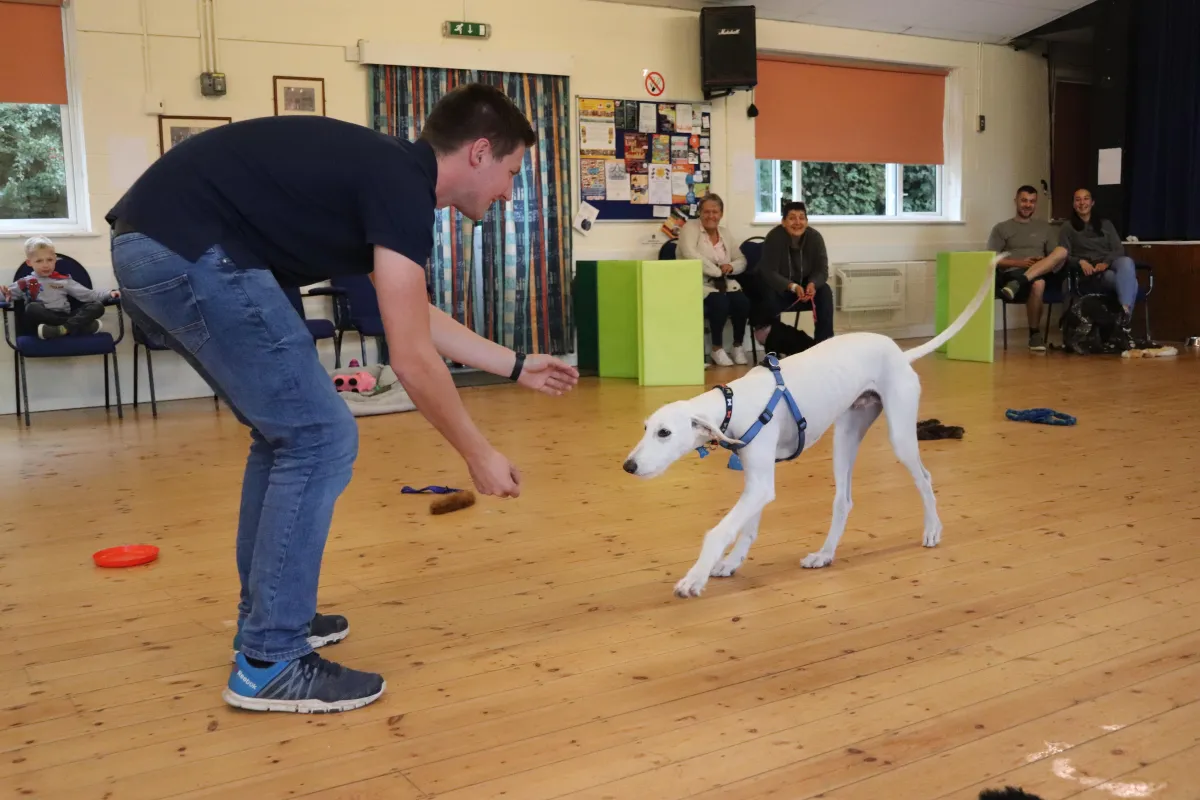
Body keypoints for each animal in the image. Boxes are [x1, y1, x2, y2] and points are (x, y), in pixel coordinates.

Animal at [623, 254, 999, 598]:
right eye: (645, 428)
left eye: (664, 433)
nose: (628, 466)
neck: (733, 403)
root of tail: (899, 353)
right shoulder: (757, 482)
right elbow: (746, 527)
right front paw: (731, 563)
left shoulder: (760, 484)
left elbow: (718, 531)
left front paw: (695, 578)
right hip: (846, 437)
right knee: (843, 501)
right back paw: (824, 554)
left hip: (901, 436)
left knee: (924, 477)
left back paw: (933, 529)